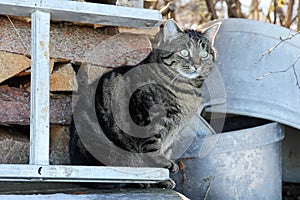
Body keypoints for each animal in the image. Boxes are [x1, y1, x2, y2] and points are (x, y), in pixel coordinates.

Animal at [69, 19, 220, 188]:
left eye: (204, 54)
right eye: (184, 52)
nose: (196, 65)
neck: (187, 90)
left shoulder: (173, 133)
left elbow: (165, 149)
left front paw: (164, 176)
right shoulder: (147, 120)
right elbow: (153, 149)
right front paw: (164, 165)